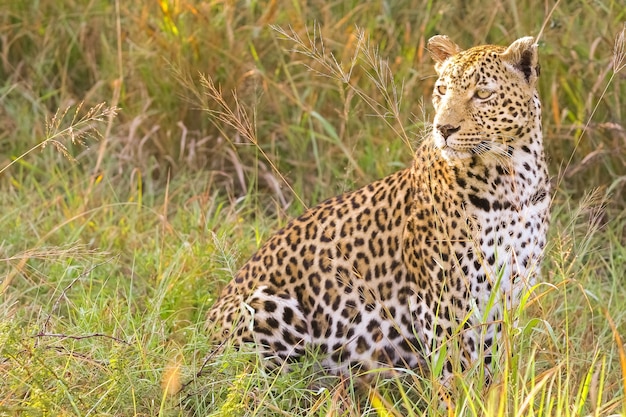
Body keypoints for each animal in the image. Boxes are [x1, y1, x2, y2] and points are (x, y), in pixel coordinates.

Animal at [204, 34, 544, 382]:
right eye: (441, 90)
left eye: (483, 94)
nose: (443, 129)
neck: (511, 181)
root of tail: (204, 331)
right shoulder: (440, 300)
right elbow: (454, 368)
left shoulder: (507, 293)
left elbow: (494, 362)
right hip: (266, 306)